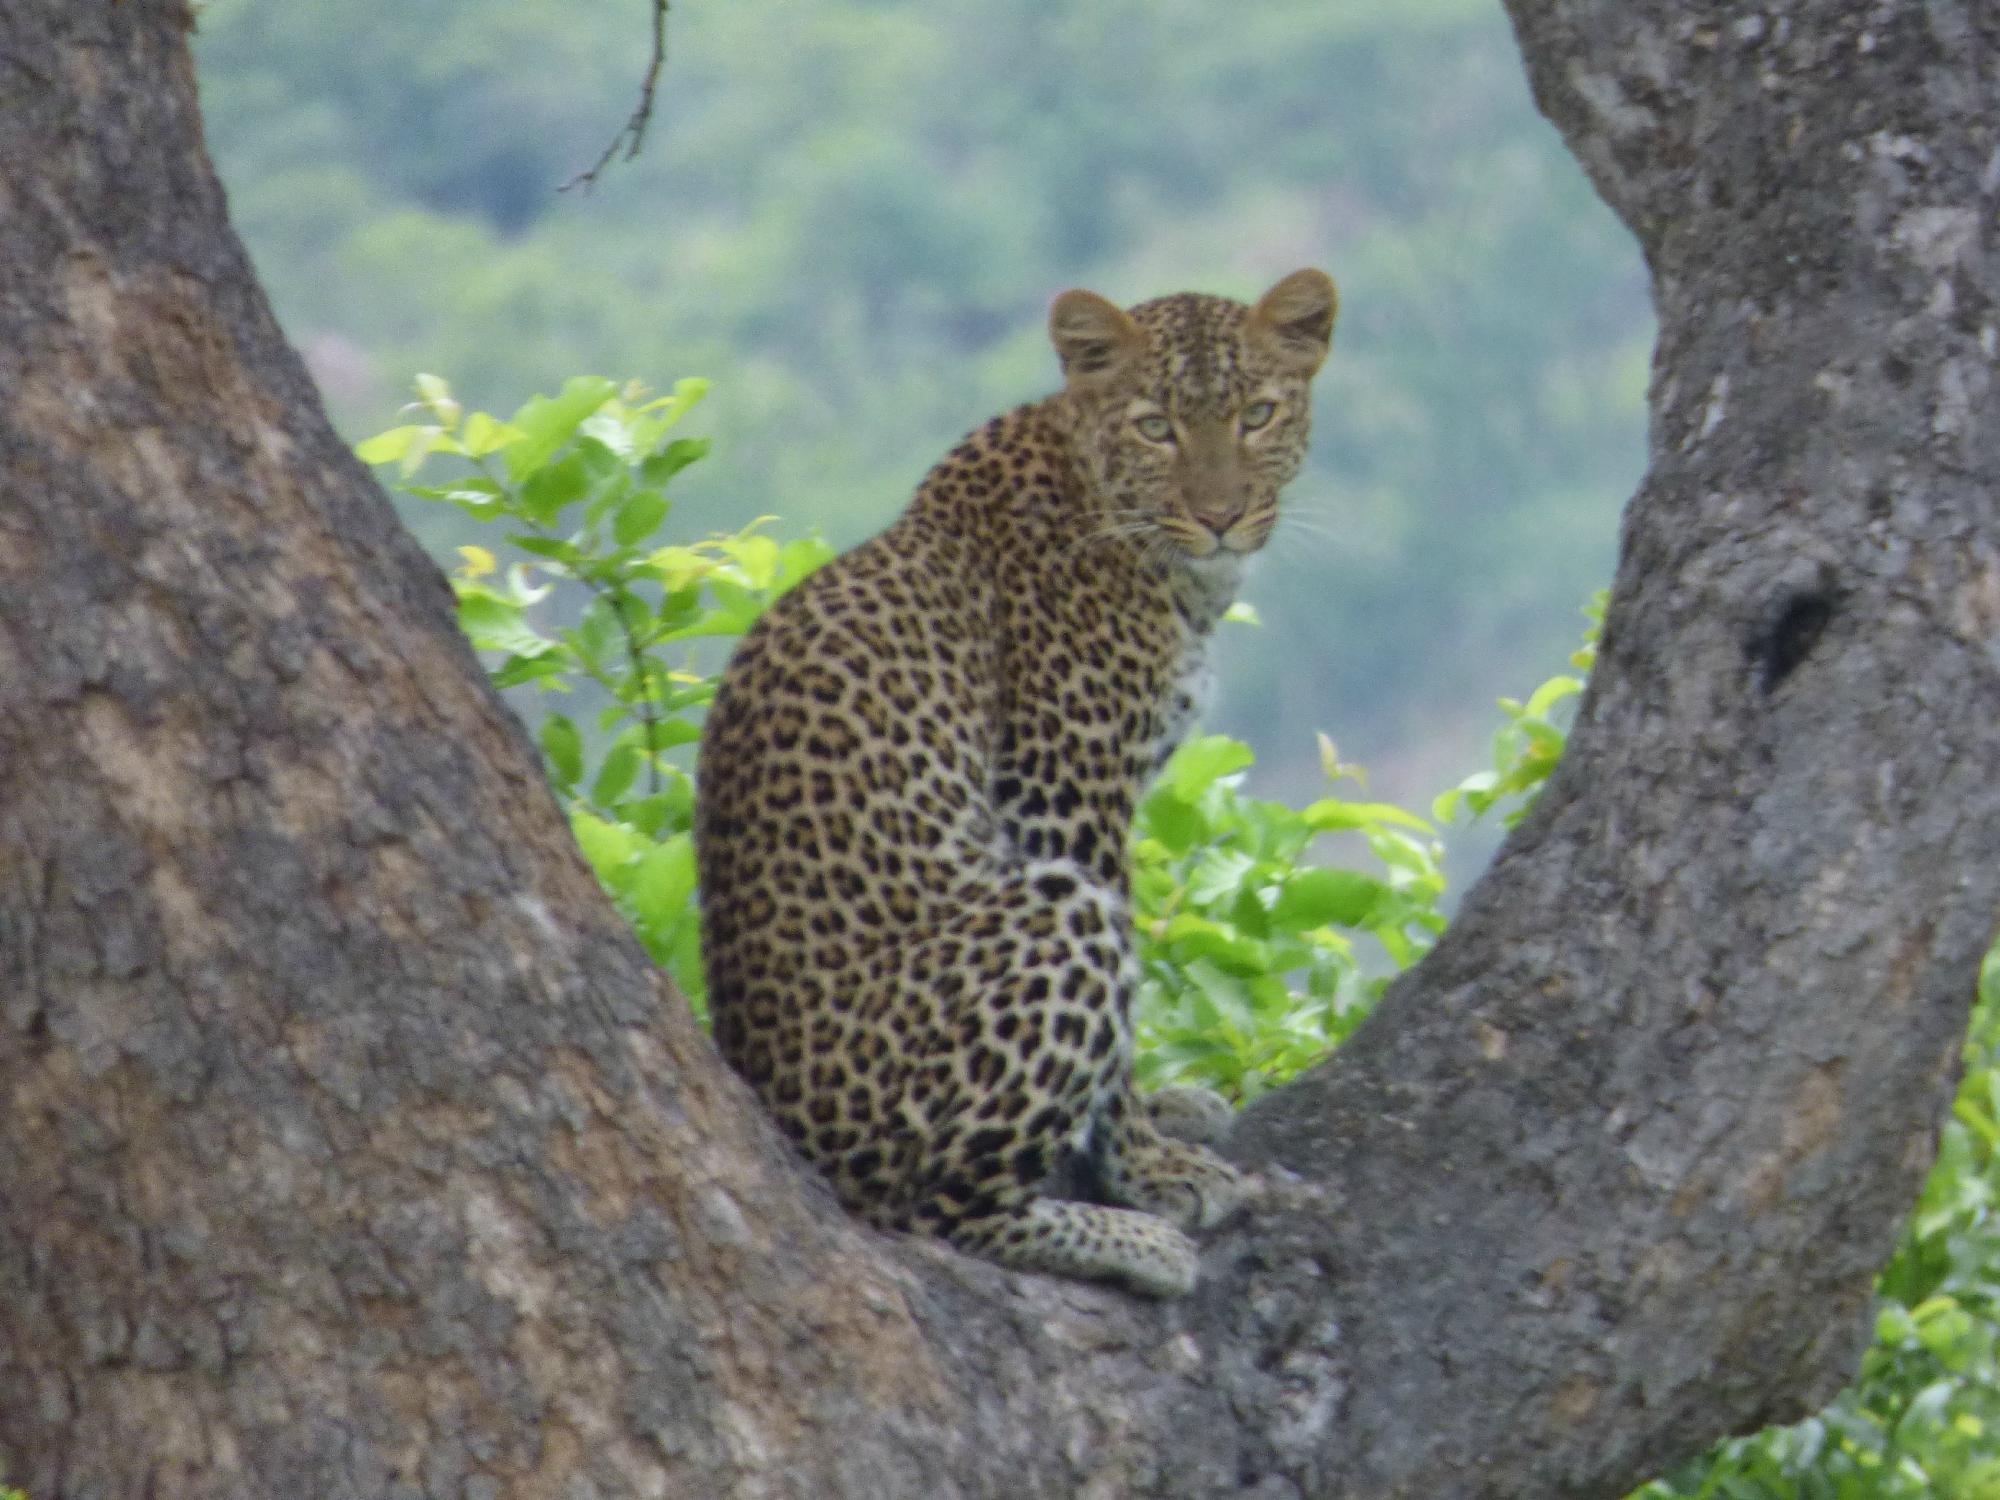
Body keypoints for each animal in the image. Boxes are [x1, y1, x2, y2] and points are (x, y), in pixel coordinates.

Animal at [695, 268, 1338, 1296]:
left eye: (1259, 415)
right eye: (1156, 427)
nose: (1221, 517)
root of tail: (792, 1131)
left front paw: (1171, 1113)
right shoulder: (1063, 794)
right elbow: (1122, 1023)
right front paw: (1150, 1168)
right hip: (1051, 916)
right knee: (936, 1211)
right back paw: (1132, 1243)